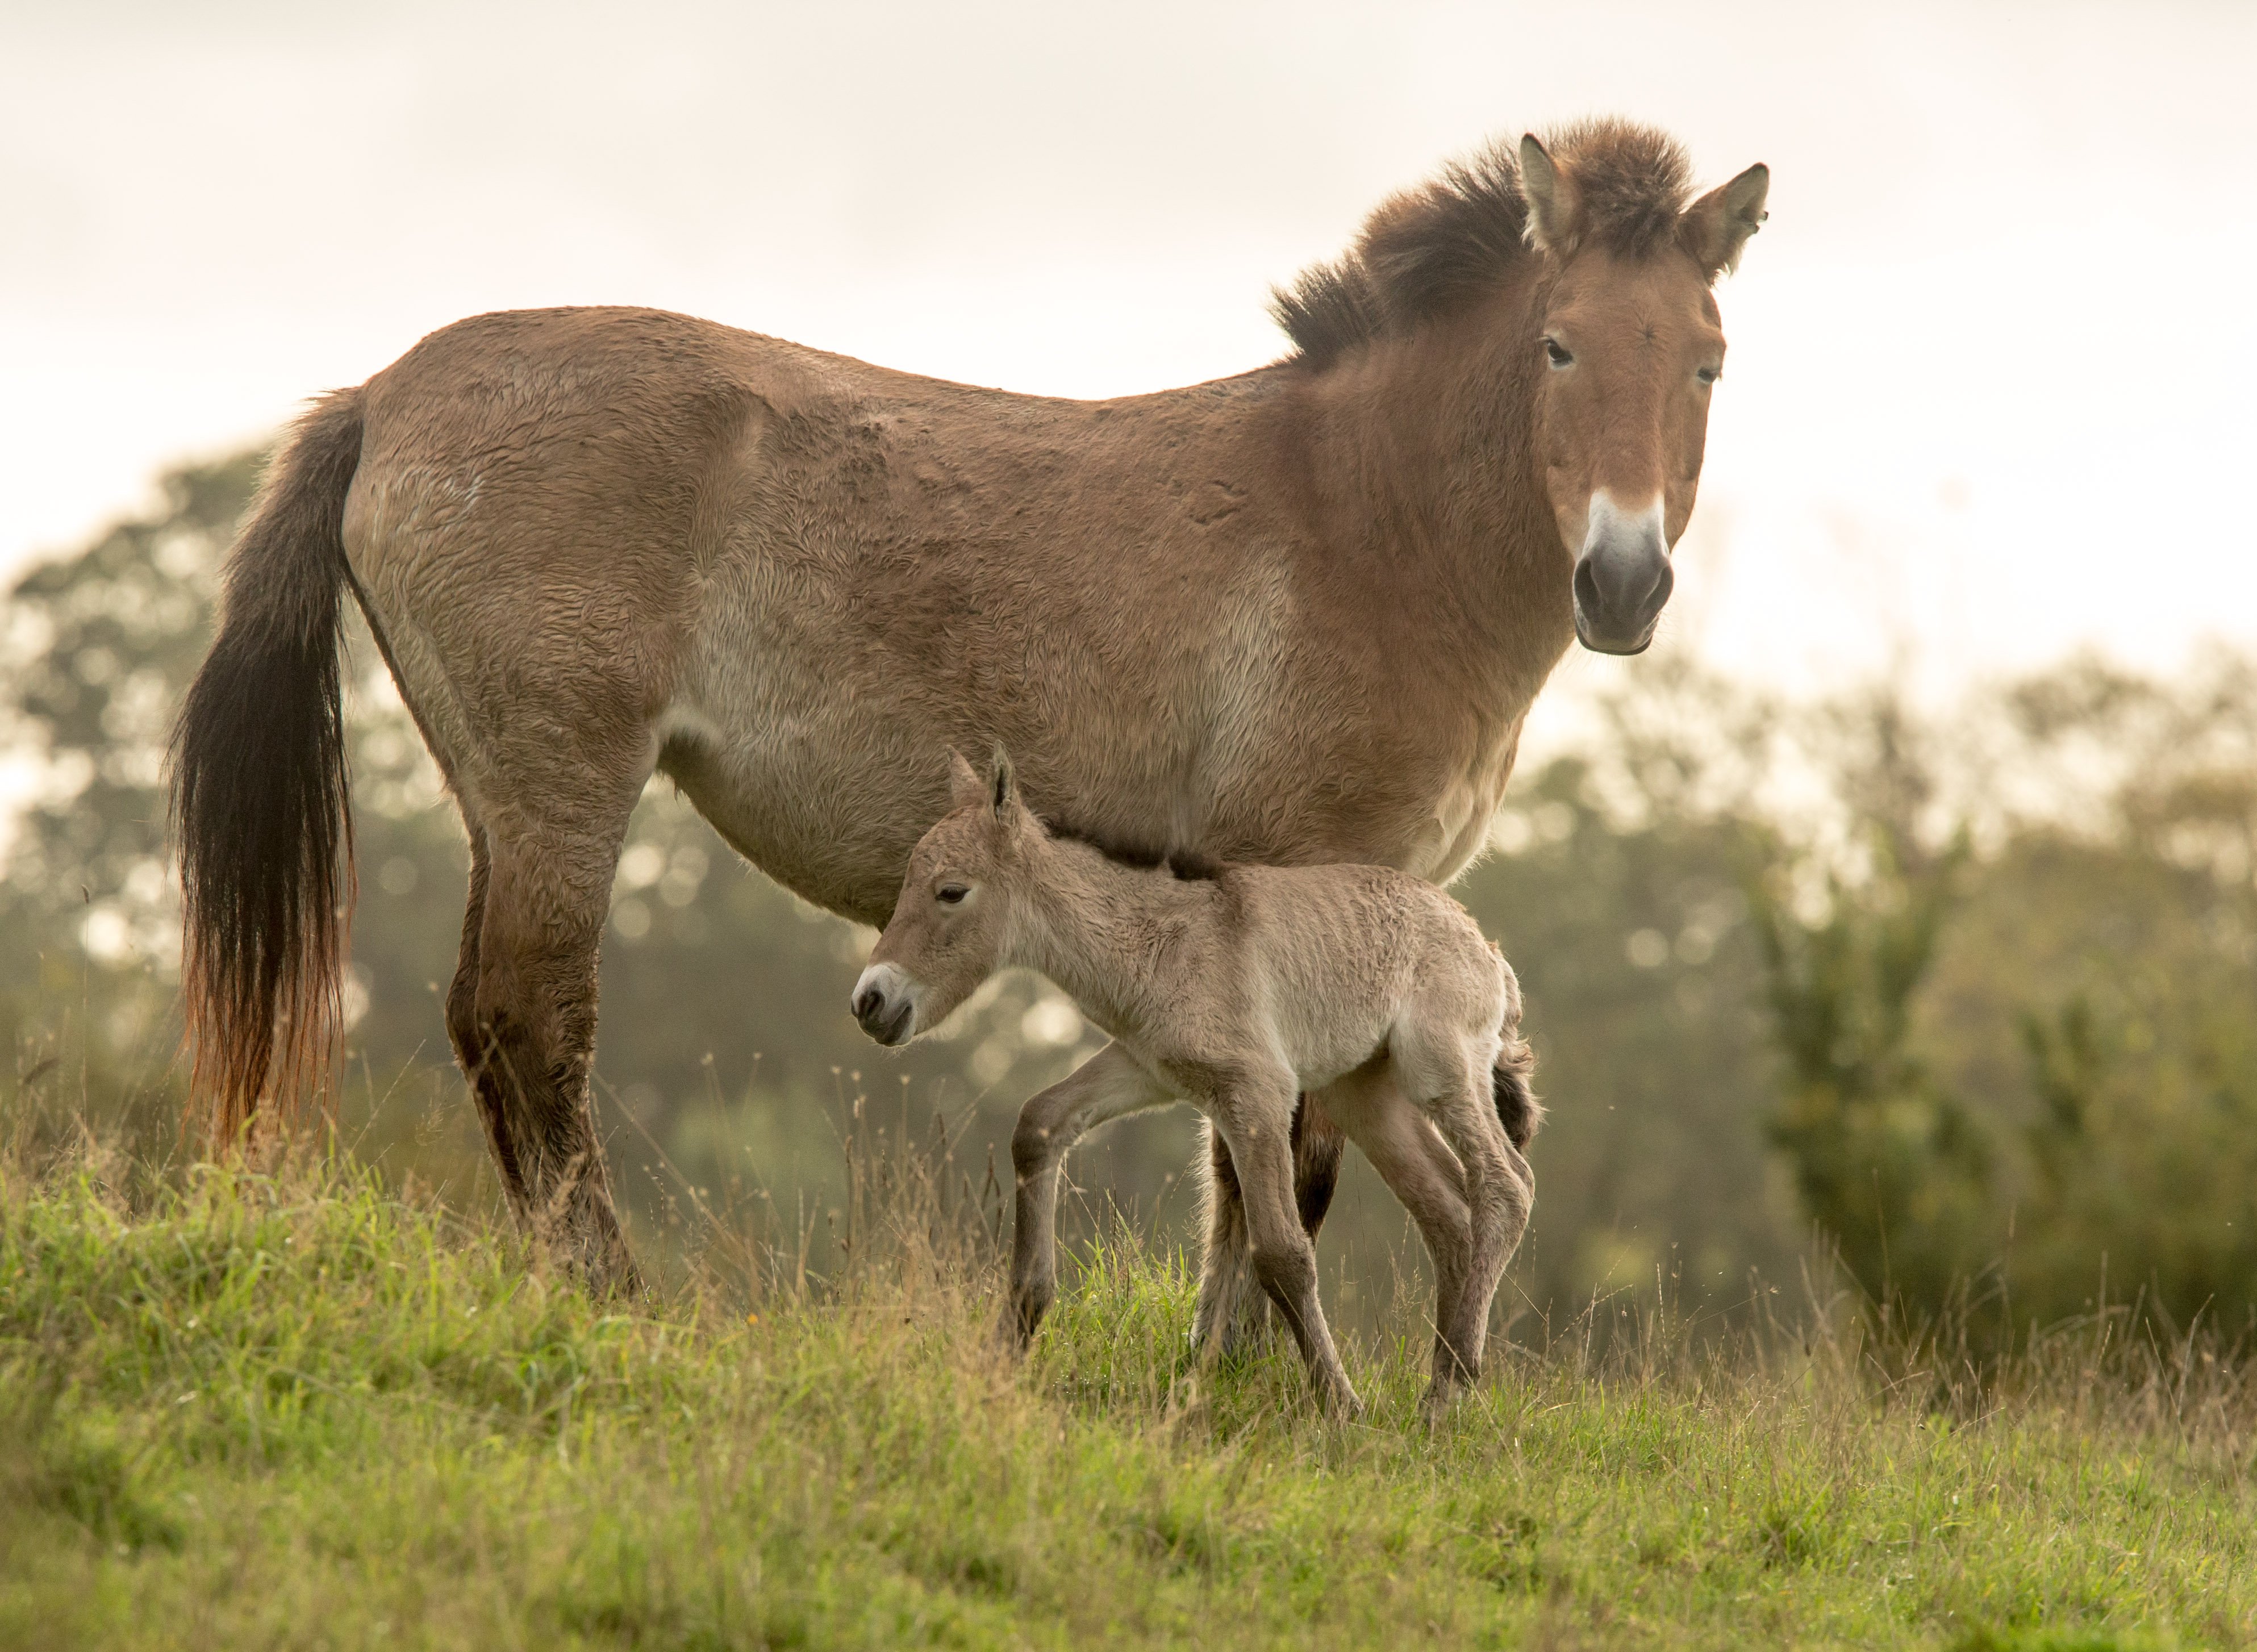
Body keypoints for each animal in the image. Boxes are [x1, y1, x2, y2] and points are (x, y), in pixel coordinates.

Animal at [171, 122, 1760, 1300]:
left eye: (1706, 358)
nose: (1623, 581)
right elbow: (1274, 1165)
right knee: (530, 1022)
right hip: (563, 785)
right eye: (1558, 345)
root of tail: (384, 394)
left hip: (501, 796)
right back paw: (618, 1300)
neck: (1359, 518)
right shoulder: (1301, 887)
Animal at [853, 758, 1543, 1417]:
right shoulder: (1145, 1069)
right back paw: (1440, 1388)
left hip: (1439, 1069)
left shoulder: (1257, 1093)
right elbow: (1039, 1123)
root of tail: (1488, 951)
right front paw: (1011, 1341)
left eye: (950, 891)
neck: (1158, 941)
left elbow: (1283, 1254)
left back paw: (1450, 1391)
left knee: (1504, 1186)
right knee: (1449, 1210)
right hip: (1364, 1097)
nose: (869, 1002)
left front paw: (1341, 1406)